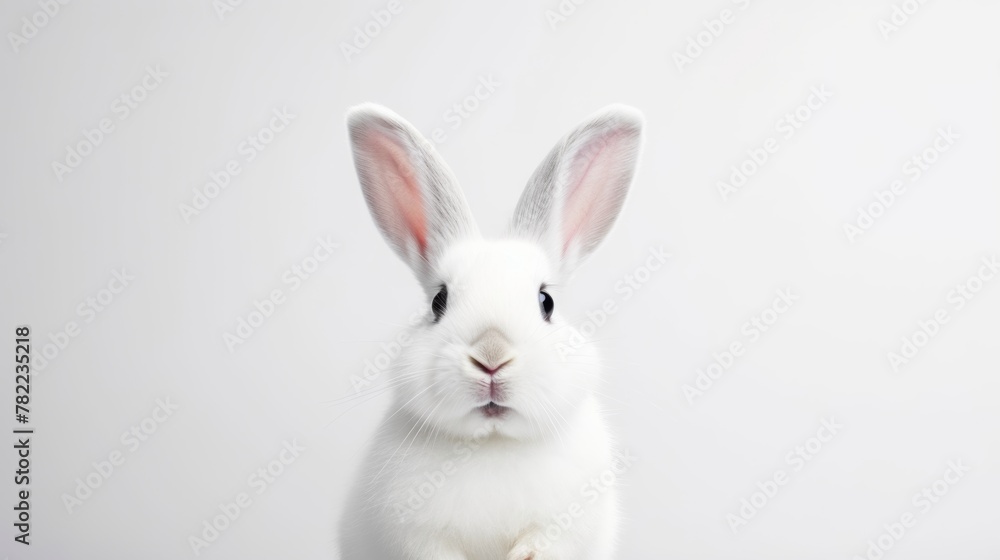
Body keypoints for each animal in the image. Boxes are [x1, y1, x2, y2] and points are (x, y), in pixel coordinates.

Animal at [338, 102, 643, 560]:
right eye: (439, 302)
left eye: (546, 303)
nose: (492, 356)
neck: (492, 443)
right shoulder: (415, 535)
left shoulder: (564, 527)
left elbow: (542, 543)